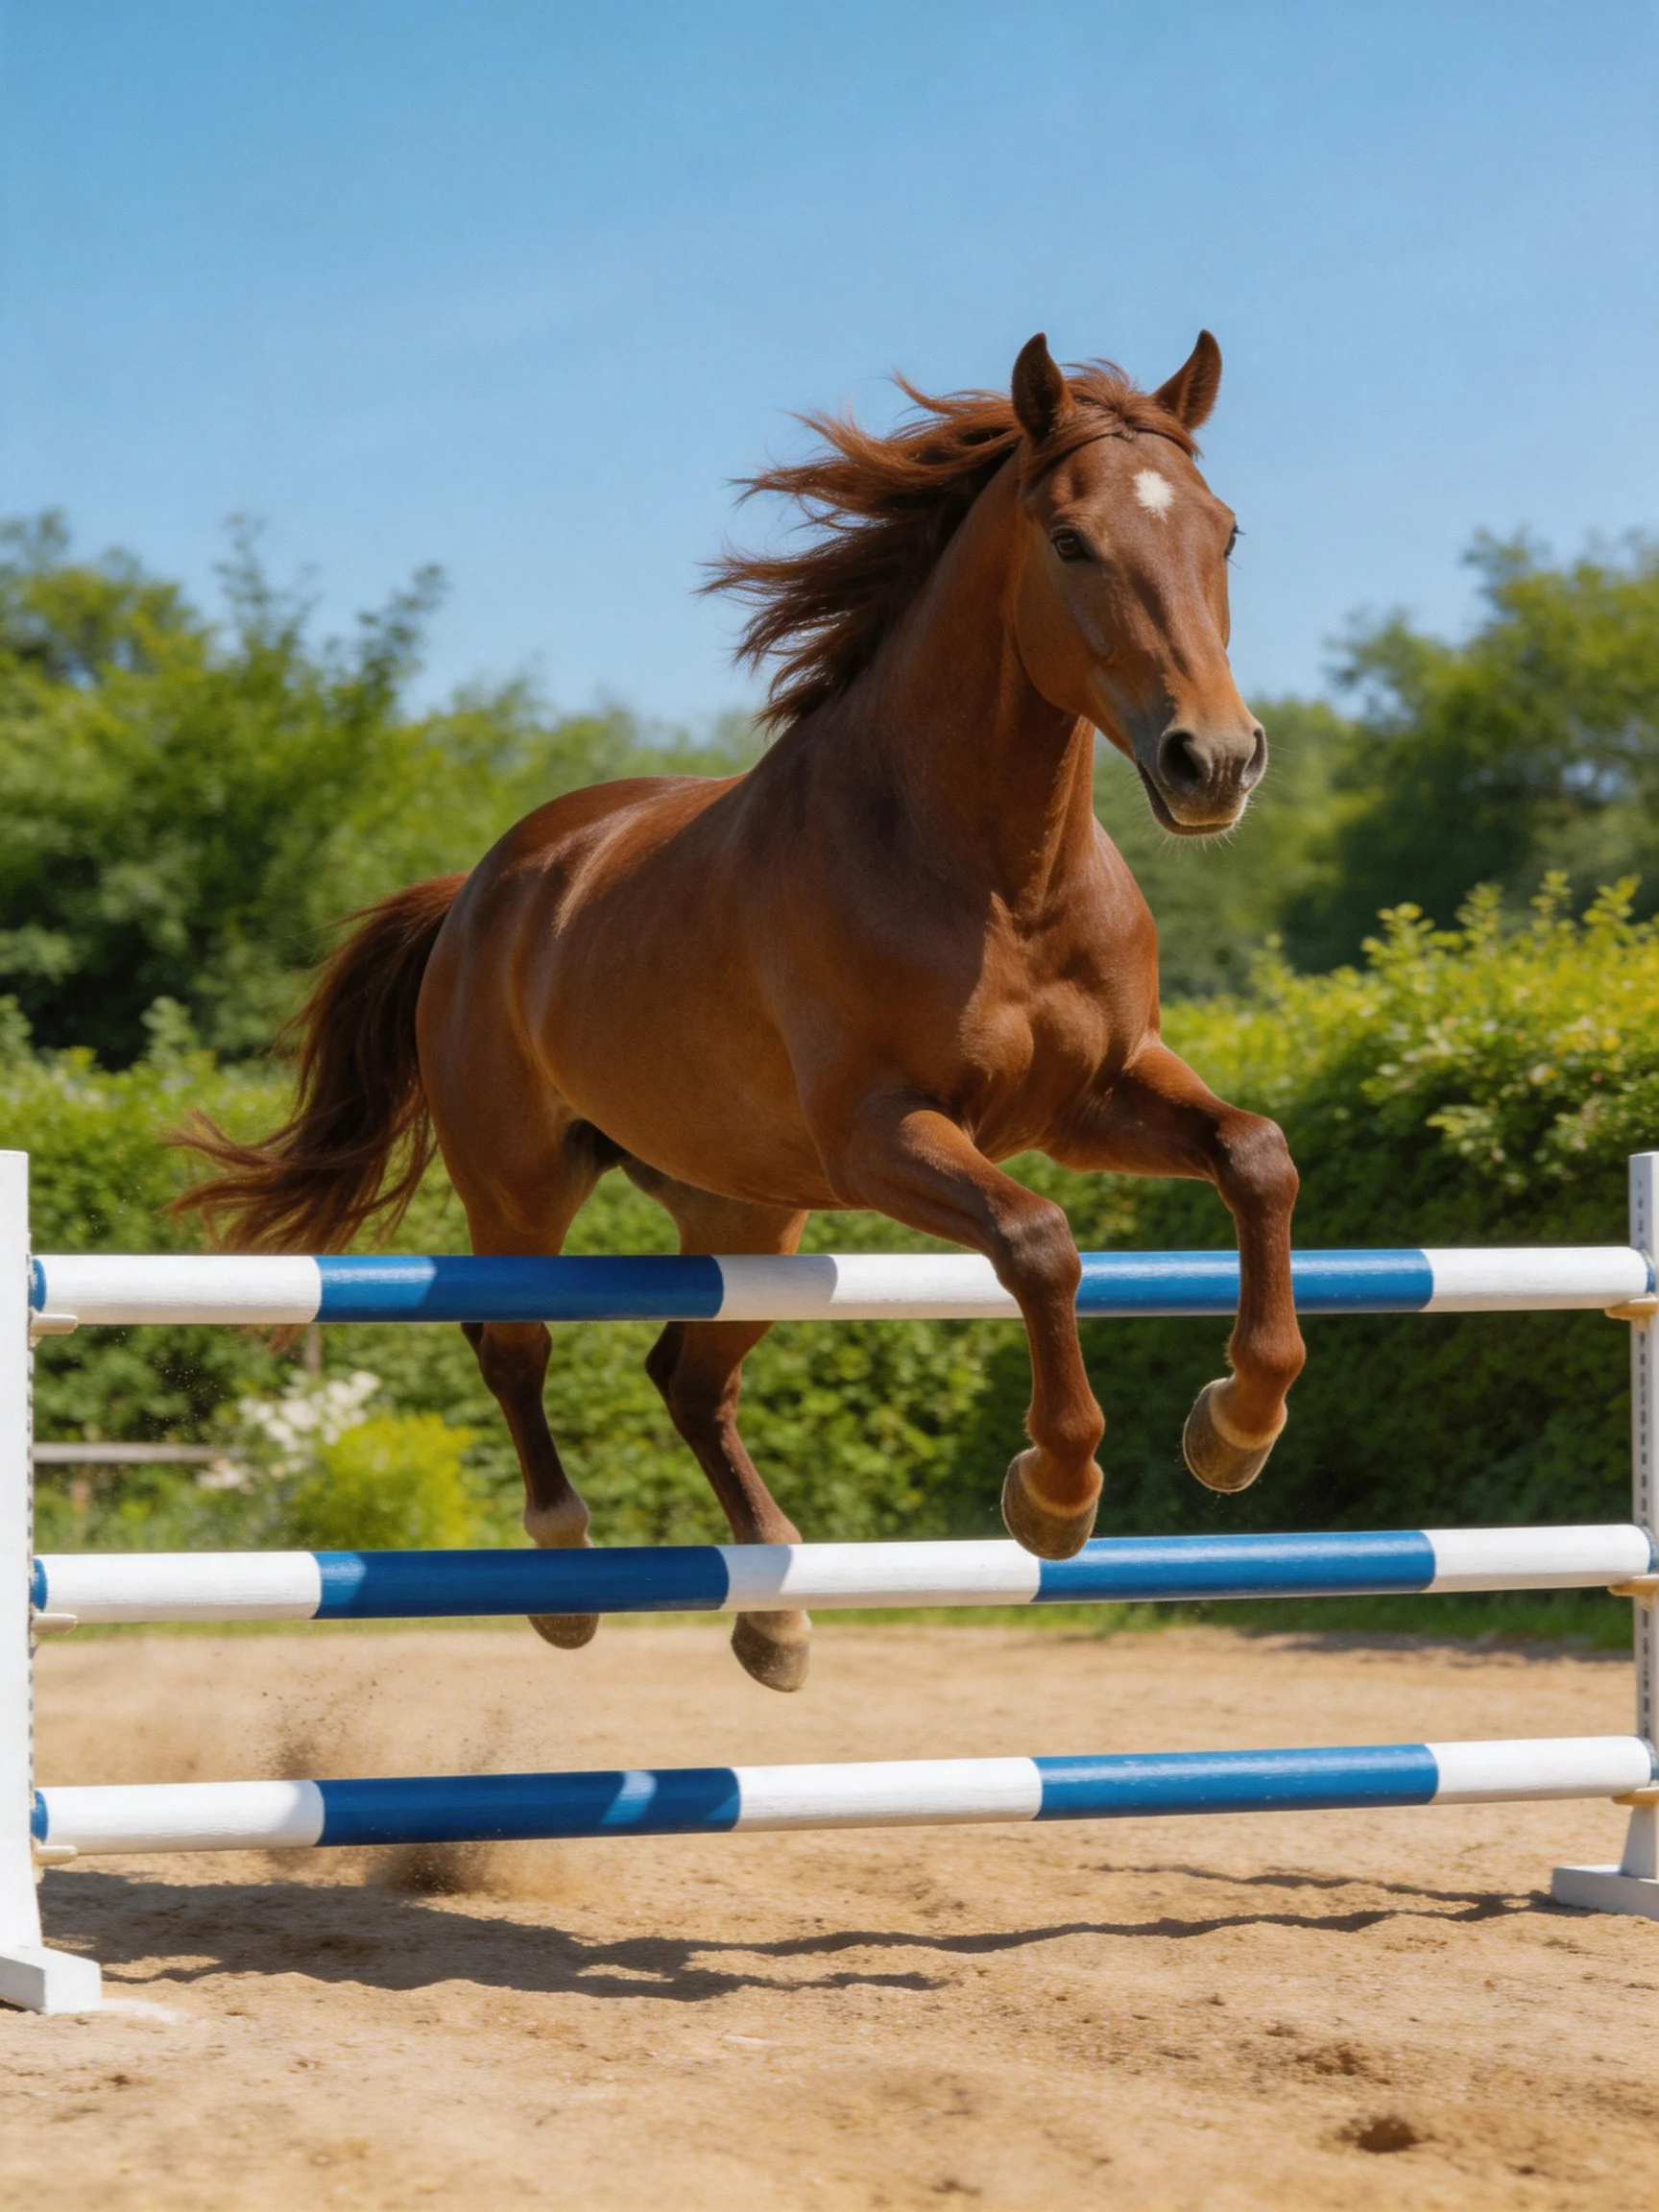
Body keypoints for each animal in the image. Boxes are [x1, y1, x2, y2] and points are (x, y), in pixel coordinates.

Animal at [178, 331, 1306, 1693]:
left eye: (1225, 532)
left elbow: (1256, 1157)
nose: (1216, 763)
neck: (998, 874)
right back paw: (565, 1570)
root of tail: (481, 890)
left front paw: (1236, 1428)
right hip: (522, 1189)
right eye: (1071, 540)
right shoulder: (884, 1136)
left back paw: (774, 1616)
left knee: (686, 1375)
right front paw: (1054, 1493)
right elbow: (1040, 1242)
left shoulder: (1094, 1100)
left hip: (748, 1219)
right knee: (516, 1346)